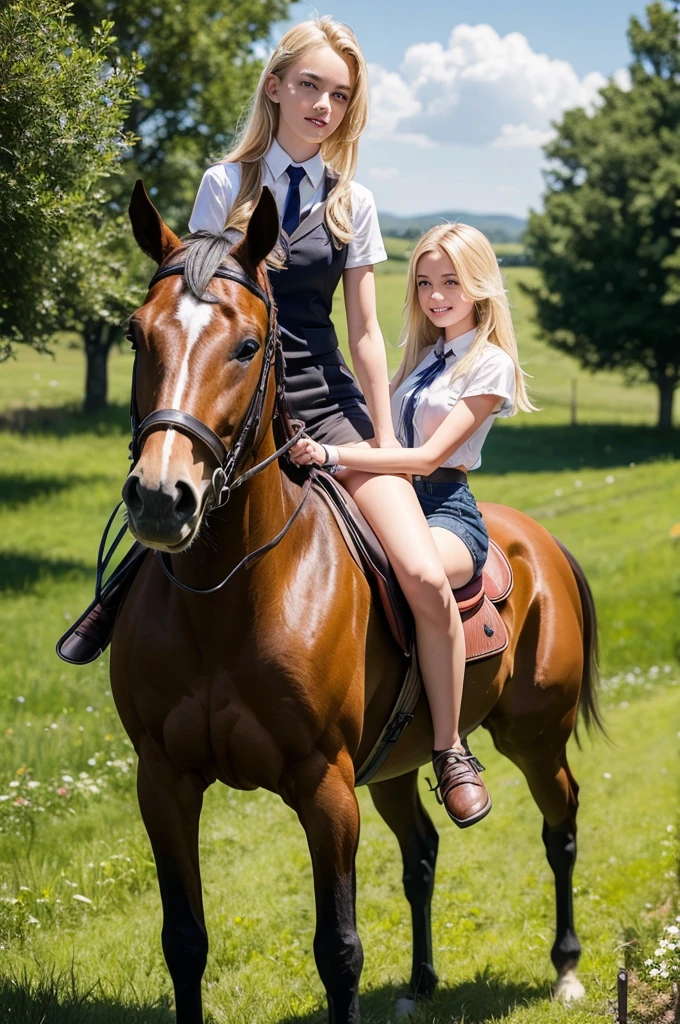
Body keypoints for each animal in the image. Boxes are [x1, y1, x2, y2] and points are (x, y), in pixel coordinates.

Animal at [110, 184, 602, 1024]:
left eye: (247, 345)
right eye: (138, 336)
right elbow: (184, 942)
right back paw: (421, 982)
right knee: (424, 852)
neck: (227, 598)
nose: (161, 497)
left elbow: (337, 951)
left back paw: (565, 967)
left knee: (560, 825)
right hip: (399, 761)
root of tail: (539, 540)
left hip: (535, 733)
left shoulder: (326, 789)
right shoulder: (163, 781)